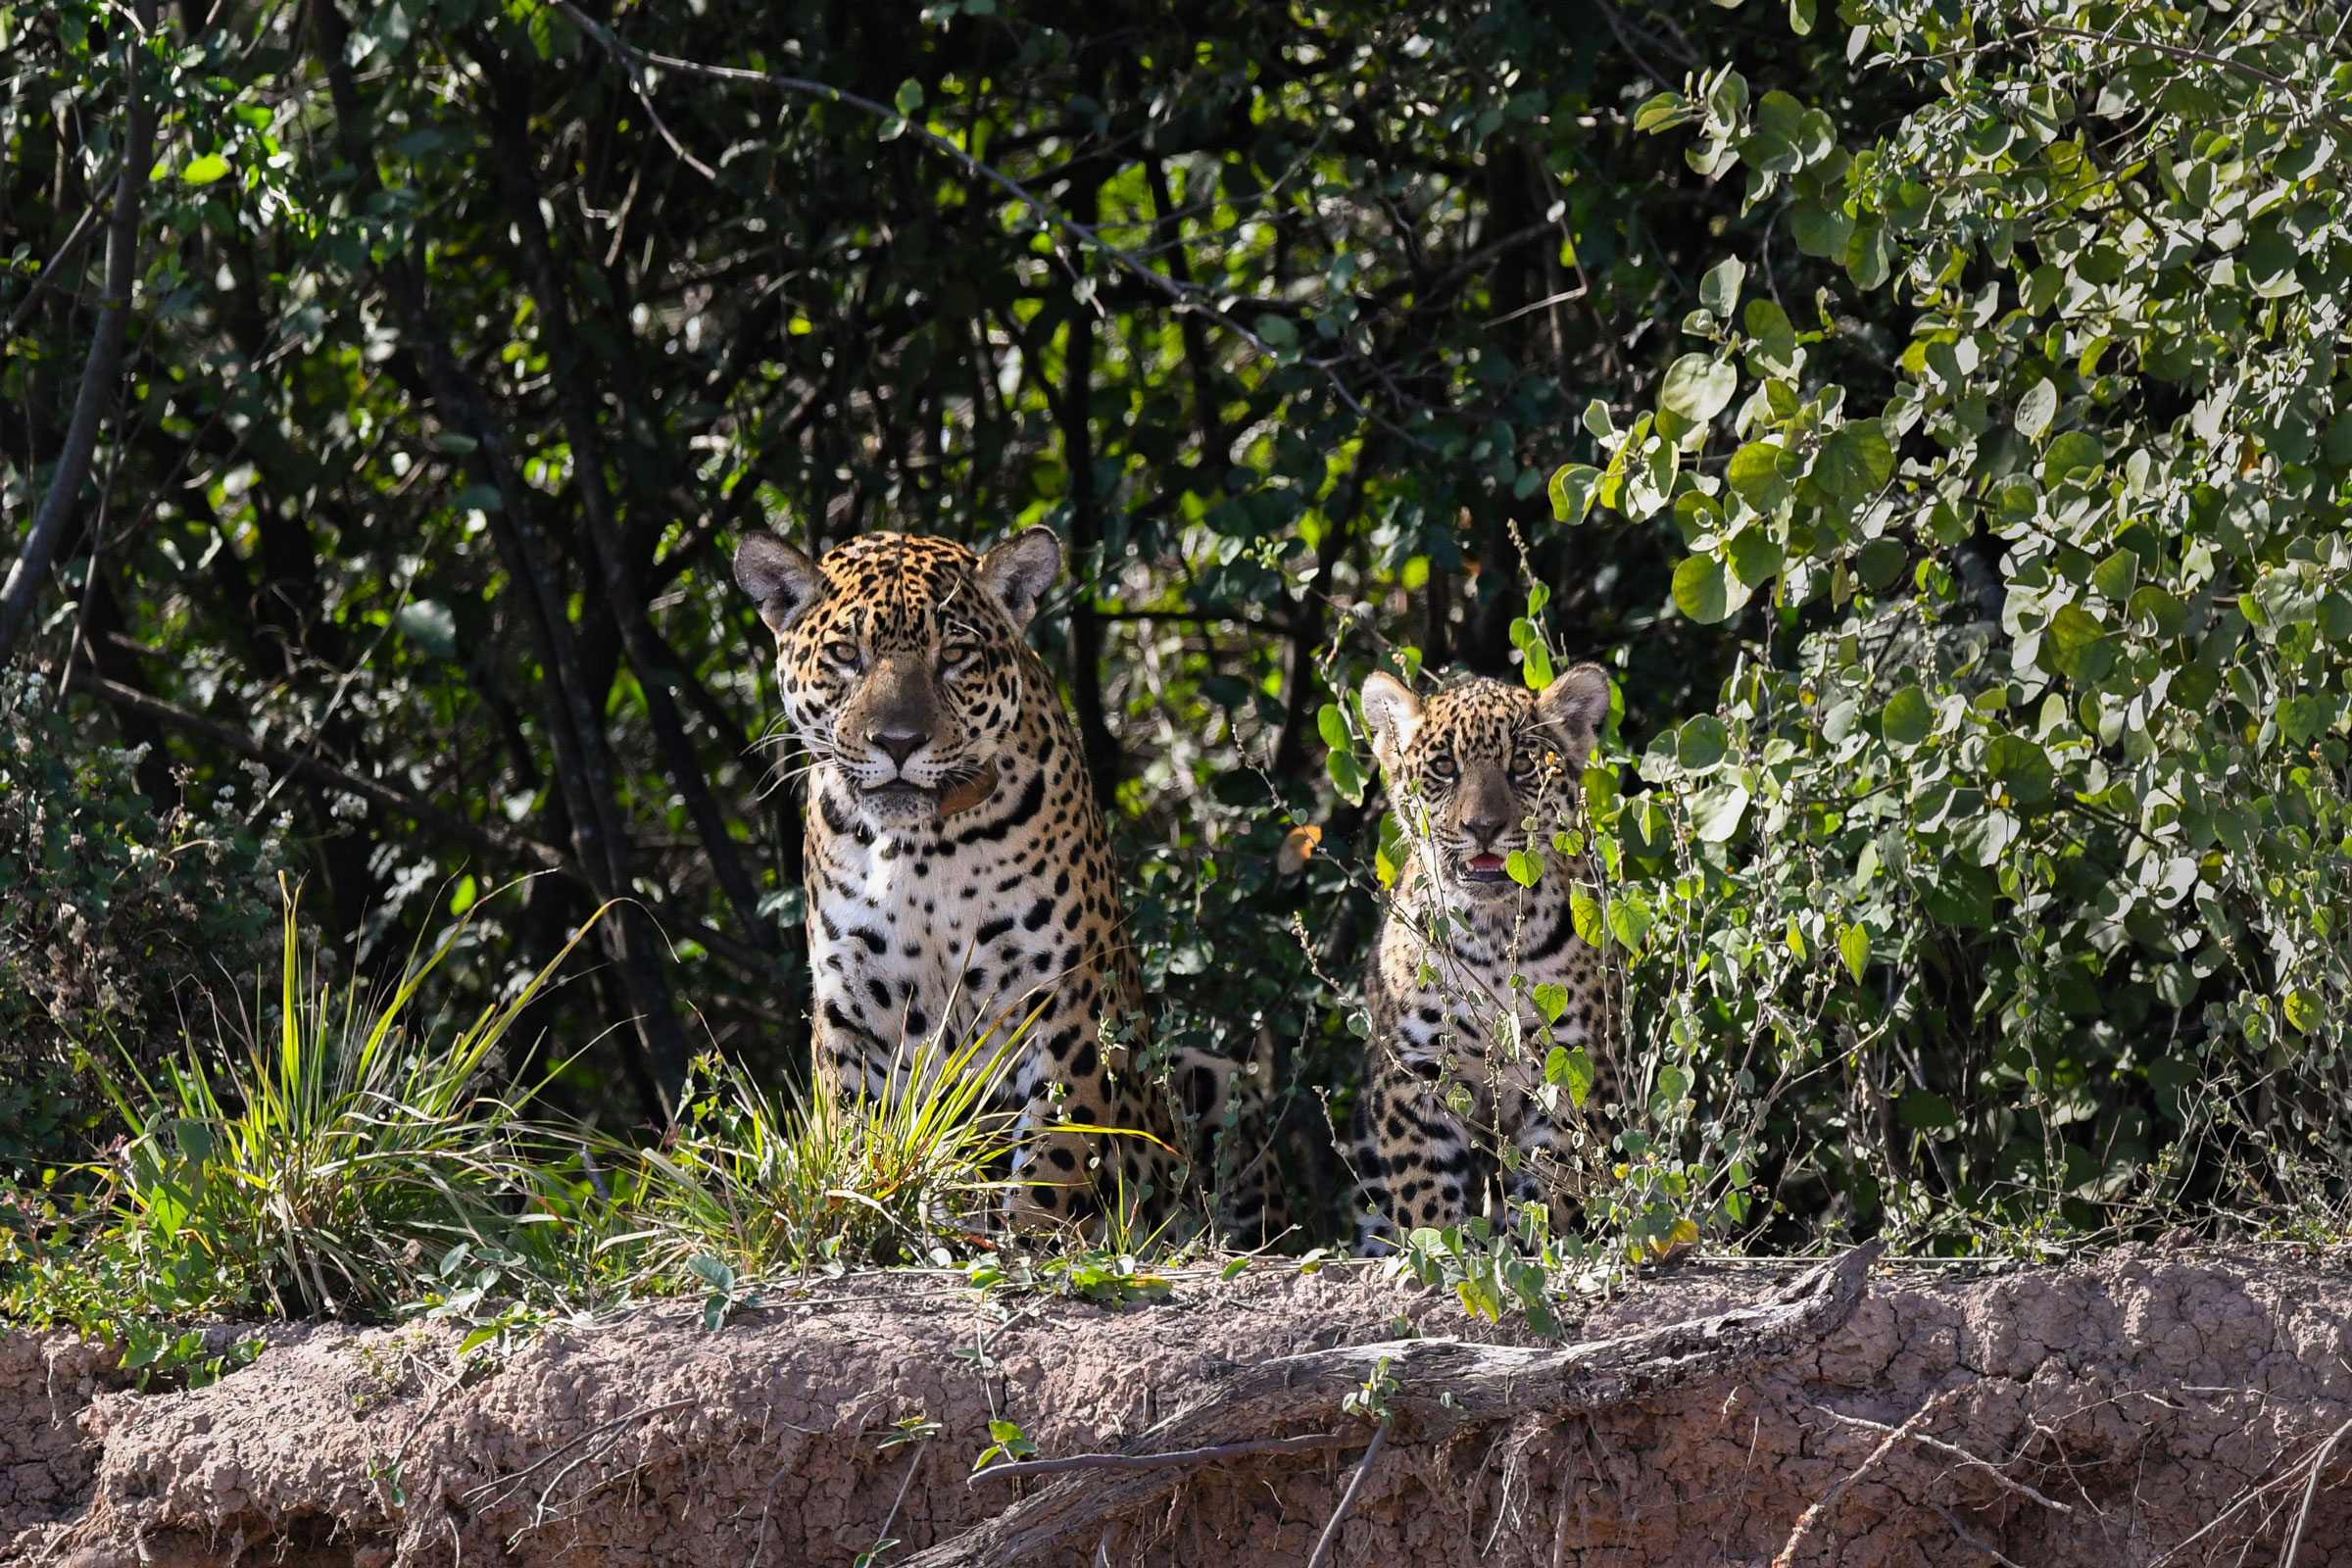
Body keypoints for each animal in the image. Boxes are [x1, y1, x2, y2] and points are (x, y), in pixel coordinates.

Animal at [733, 525, 1282, 1240]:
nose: (898, 742)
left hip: (1209, 1073)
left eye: (954, 655)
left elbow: (1058, 1139)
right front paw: (855, 1214)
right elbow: (855, 1131)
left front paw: (1030, 1233)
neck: (922, 850)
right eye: (846, 655)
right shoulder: (852, 1007)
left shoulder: (1064, 994)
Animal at [1346, 663, 1619, 1253]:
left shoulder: (1566, 1064)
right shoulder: (1417, 1070)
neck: (1493, 937)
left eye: (1520, 766)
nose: (1484, 827)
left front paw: (1525, 1254)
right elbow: (1423, 1188)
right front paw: (1445, 1256)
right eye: (1444, 768)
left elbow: (1554, 1186)